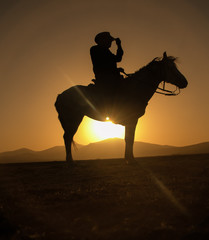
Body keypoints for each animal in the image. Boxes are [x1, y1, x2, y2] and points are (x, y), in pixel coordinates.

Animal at [54, 52, 188, 165]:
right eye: (170, 67)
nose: (185, 82)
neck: (135, 88)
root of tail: (60, 95)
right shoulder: (132, 120)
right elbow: (130, 139)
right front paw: (131, 159)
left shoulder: (131, 121)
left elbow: (128, 139)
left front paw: (128, 158)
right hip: (73, 119)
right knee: (67, 137)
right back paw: (70, 161)